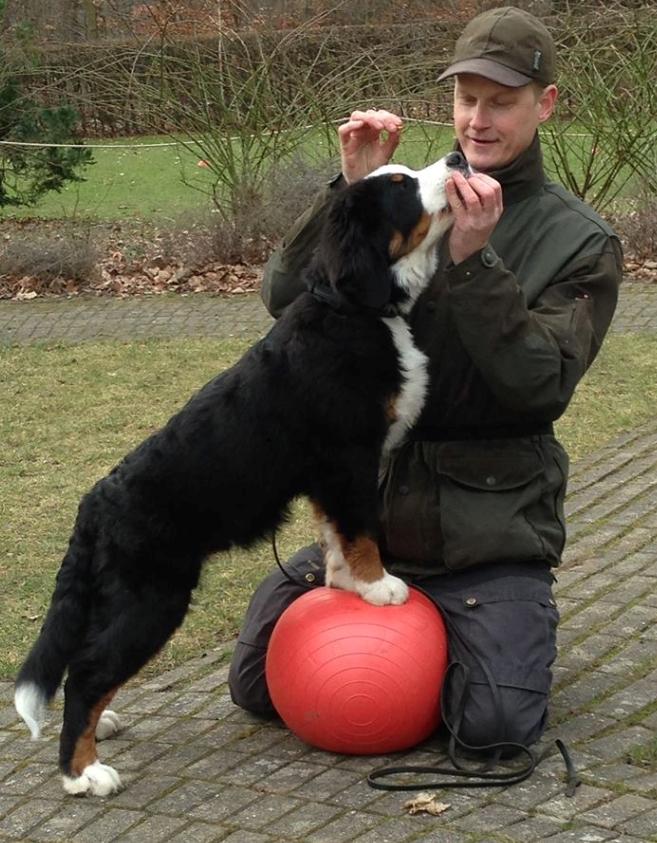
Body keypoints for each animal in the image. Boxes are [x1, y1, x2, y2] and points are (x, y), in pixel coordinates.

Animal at [15, 150, 472, 796]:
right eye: (401, 185)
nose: (457, 157)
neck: (354, 309)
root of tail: (95, 502)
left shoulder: (329, 473)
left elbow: (336, 532)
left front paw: (343, 583)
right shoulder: (347, 457)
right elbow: (361, 528)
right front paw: (377, 585)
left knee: (88, 663)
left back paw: (100, 729)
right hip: (151, 597)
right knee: (86, 673)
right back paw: (84, 775)